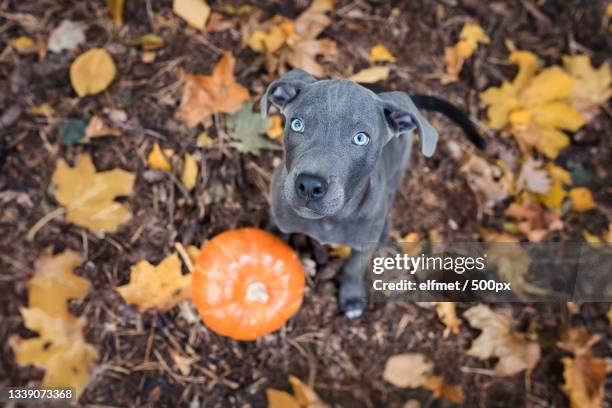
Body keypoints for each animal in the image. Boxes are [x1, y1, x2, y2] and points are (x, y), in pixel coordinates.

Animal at [260, 70, 486, 318]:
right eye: (297, 124)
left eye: (360, 138)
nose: (309, 185)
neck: (330, 220)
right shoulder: (281, 220)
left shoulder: (363, 244)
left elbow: (352, 268)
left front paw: (351, 297)